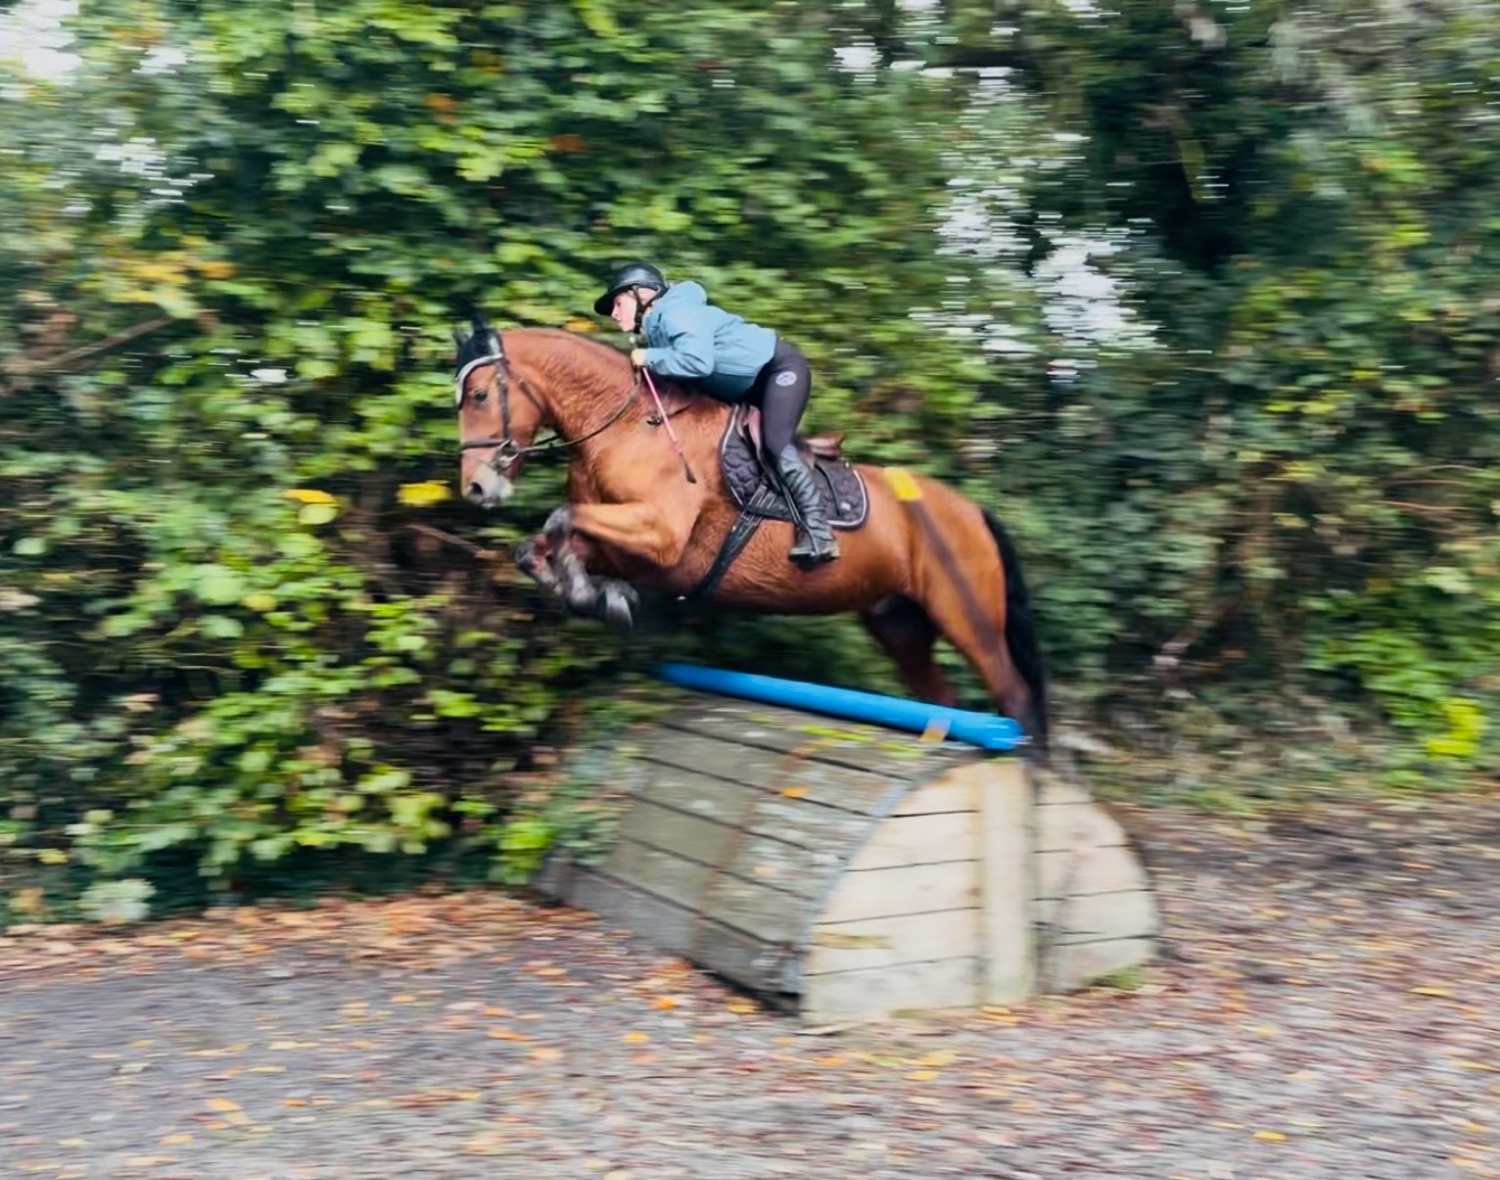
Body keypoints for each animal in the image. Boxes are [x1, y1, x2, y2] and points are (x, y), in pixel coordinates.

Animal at [452, 315, 1050, 756]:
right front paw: (596, 595)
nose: (476, 488)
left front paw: (594, 595)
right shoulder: (631, 545)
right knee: (944, 697)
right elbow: (543, 543)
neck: (625, 425)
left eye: (478, 395)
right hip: (900, 625)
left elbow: (561, 517)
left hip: (967, 616)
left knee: (1015, 697)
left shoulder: (661, 536)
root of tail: (974, 512)